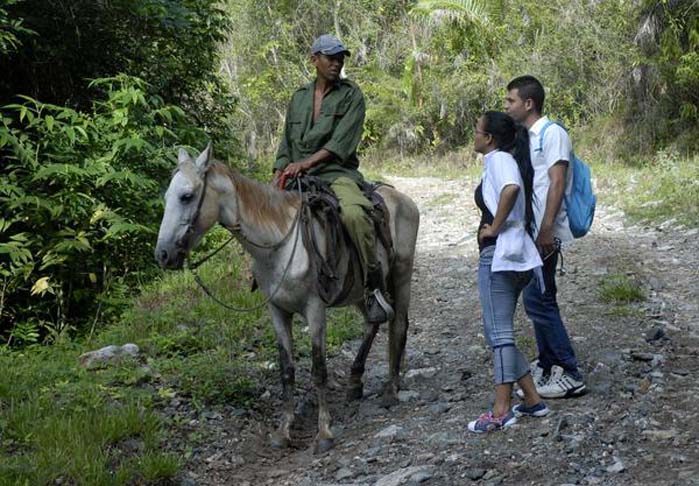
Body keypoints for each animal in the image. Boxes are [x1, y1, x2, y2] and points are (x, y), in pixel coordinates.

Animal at [156, 144, 418, 452]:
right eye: (167, 197)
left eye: (186, 196)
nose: (162, 255)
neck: (277, 243)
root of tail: (402, 198)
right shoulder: (277, 311)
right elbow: (286, 370)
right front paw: (284, 430)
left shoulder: (315, 310)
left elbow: (318, 369)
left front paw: (324, 432)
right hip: (358, 291)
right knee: (374, 321)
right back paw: (355, 381)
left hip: (401, 274)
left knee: (398, 324)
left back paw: (391, 389)